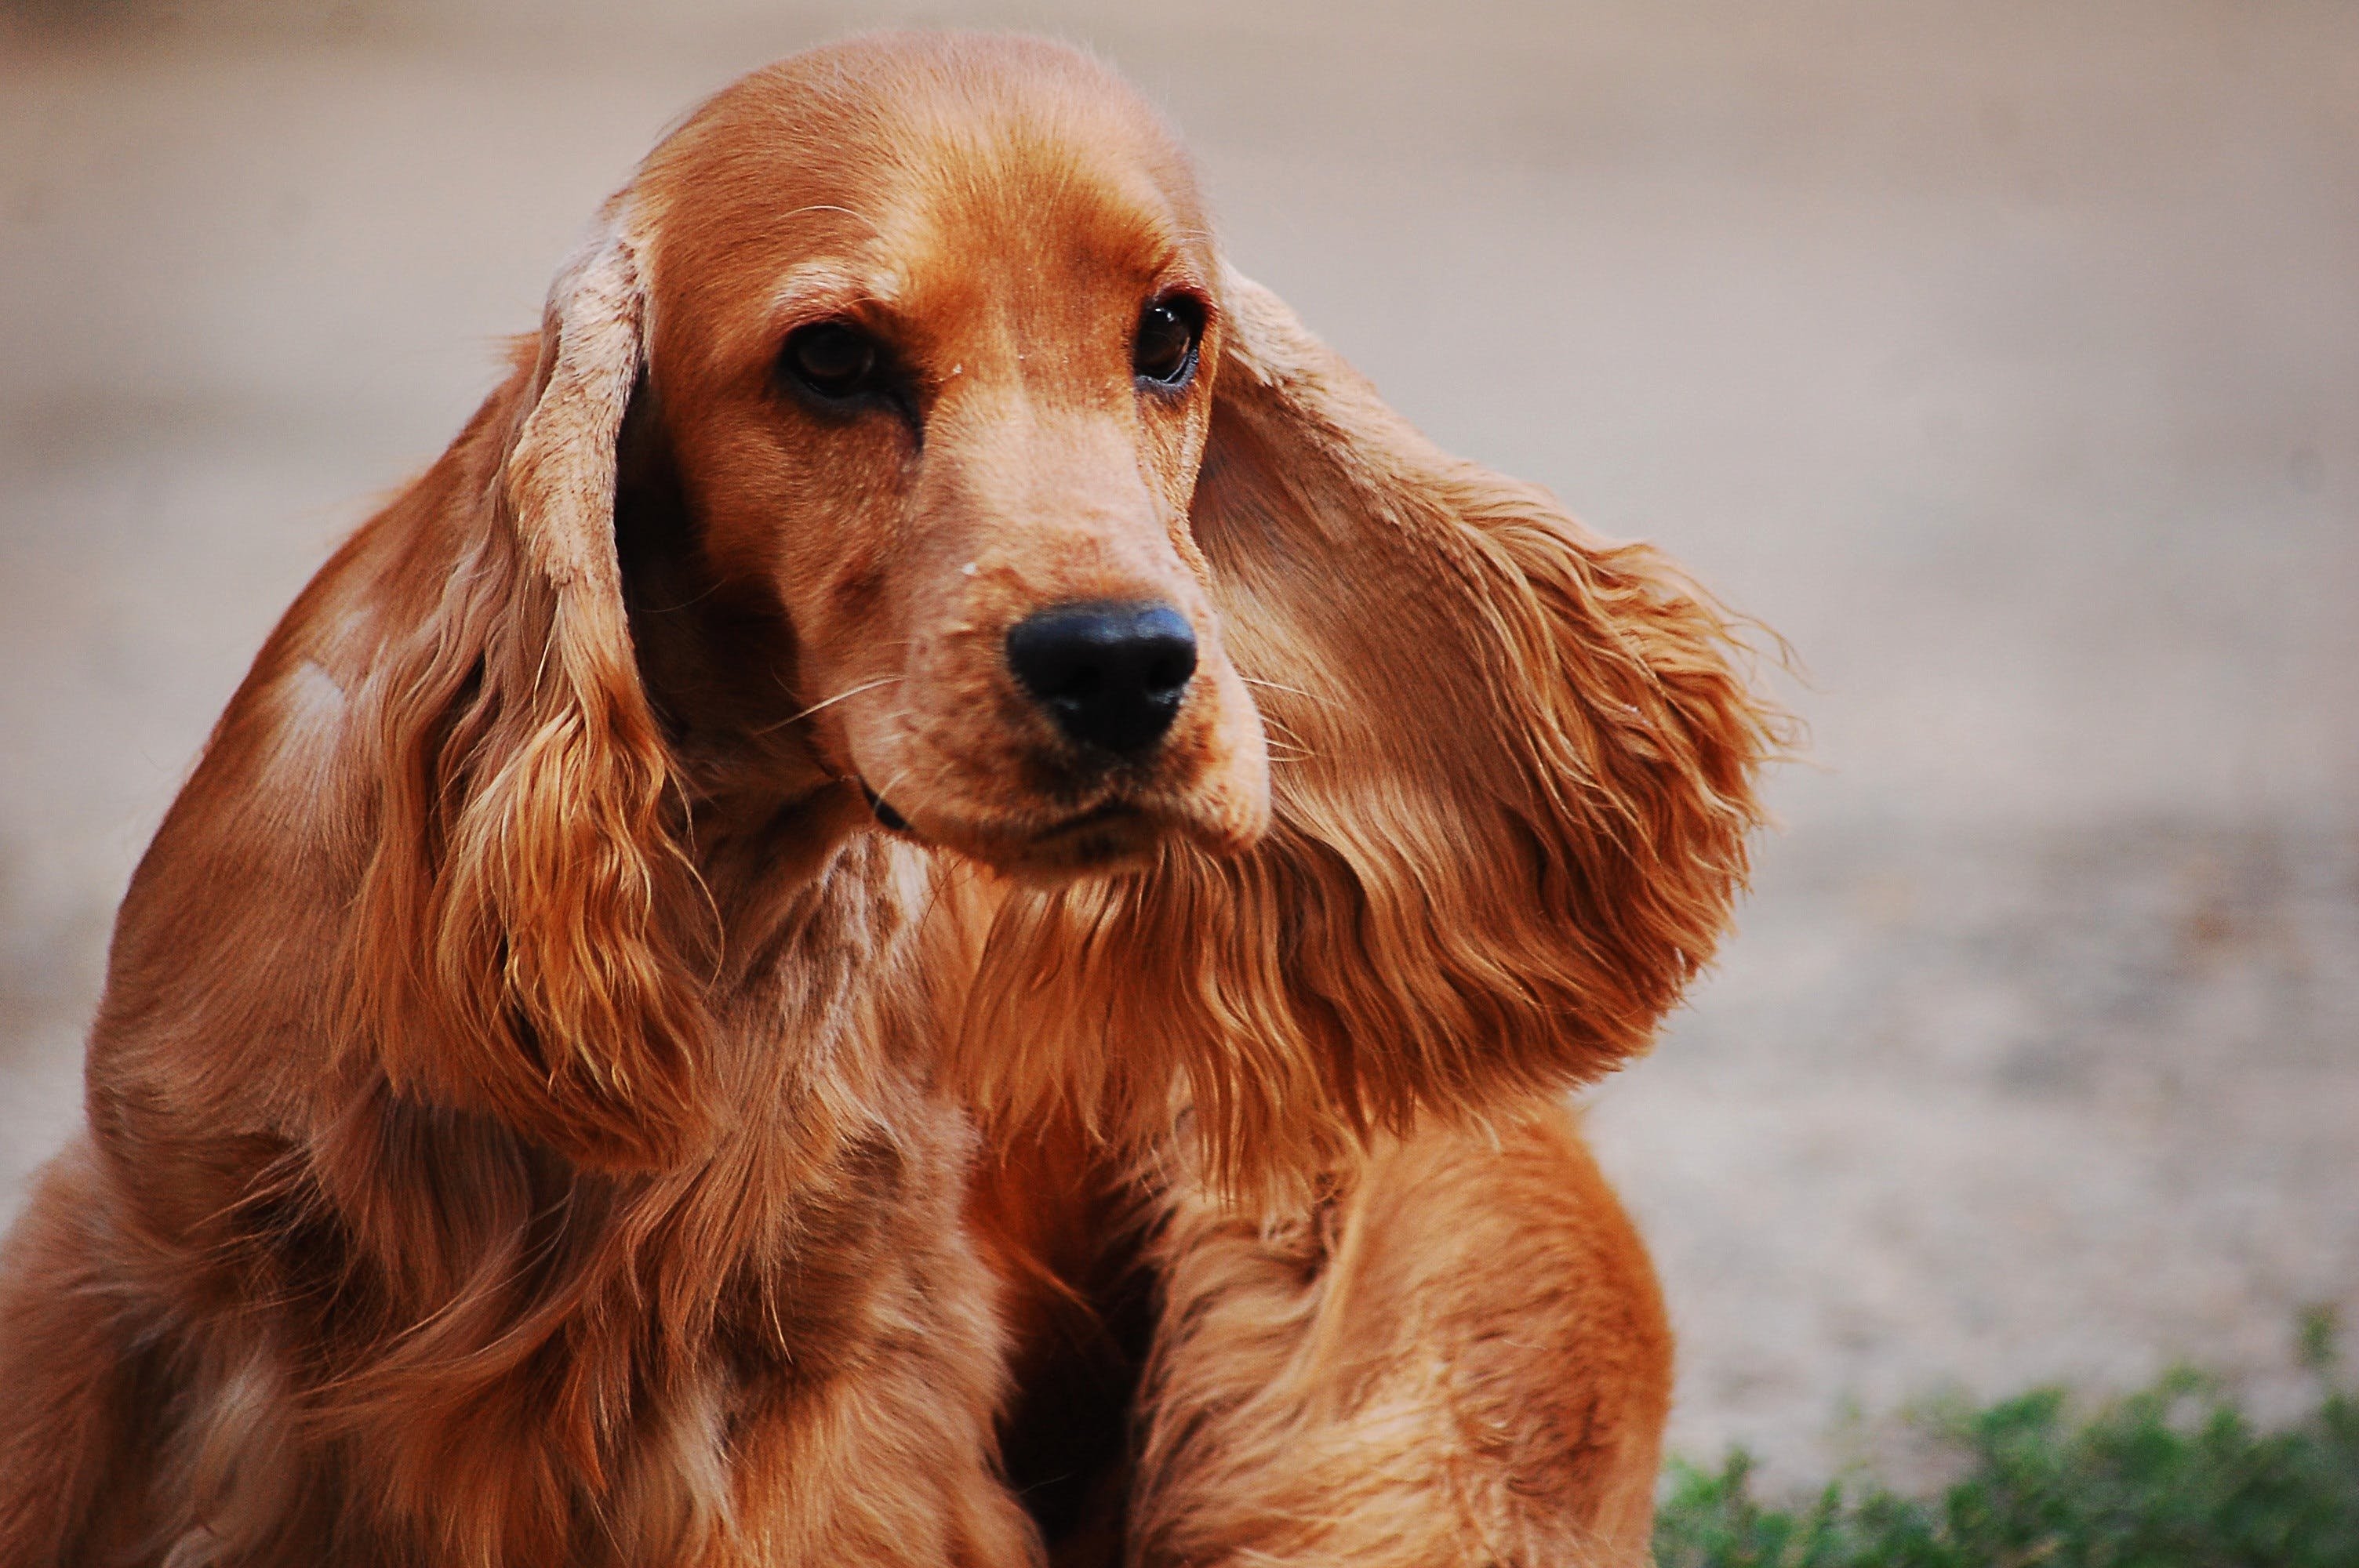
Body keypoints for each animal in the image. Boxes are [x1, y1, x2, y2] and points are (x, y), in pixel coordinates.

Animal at [0, 36, 1774, 1565]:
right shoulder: (126, 1288)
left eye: (1170, 334)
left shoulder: (835, 1412)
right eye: (834, 360)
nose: (1125, 664)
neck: (706, 897)